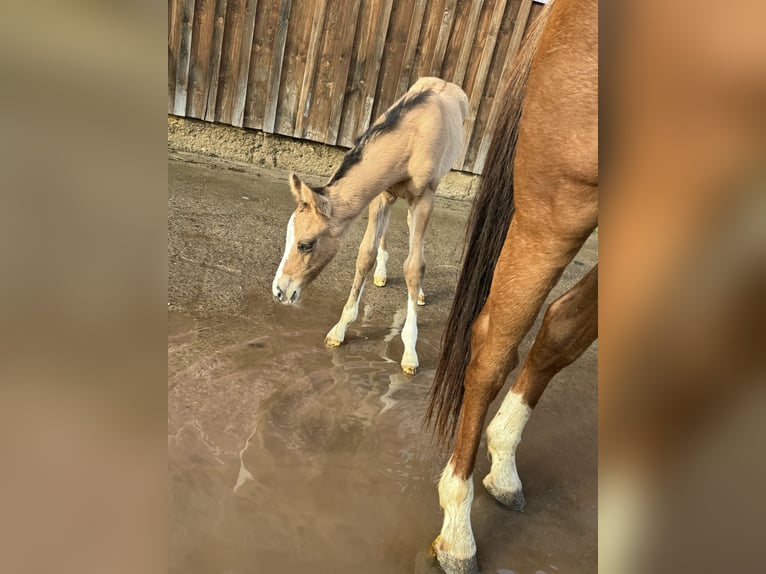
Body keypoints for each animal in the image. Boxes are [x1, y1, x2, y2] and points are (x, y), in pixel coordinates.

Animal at [272, 76, 472, 376]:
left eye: (306, 244)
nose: (279, 291)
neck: (411, 137)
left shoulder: (424, 199)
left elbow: (414, 266)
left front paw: (410, 352)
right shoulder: (380, 194)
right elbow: (365, 254)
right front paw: (339, 330)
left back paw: (418, 294)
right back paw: (382, 274)